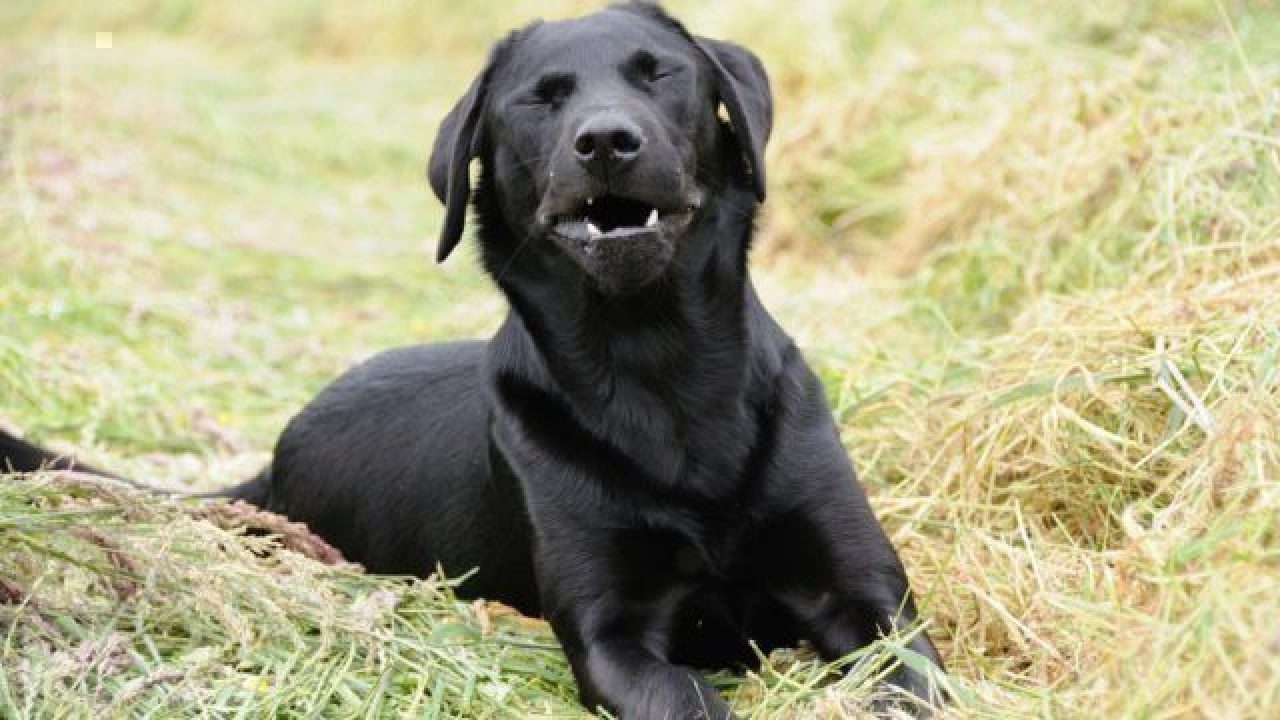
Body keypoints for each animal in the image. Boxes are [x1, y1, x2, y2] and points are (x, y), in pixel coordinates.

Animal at [2, 2, 942, 712]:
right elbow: (682, 695)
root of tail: (271, 466)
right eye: (540, 100)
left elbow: (906, 678)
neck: (658, 365)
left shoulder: (870, 602)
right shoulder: (612, 634)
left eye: (660, 75)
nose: (607, 141)